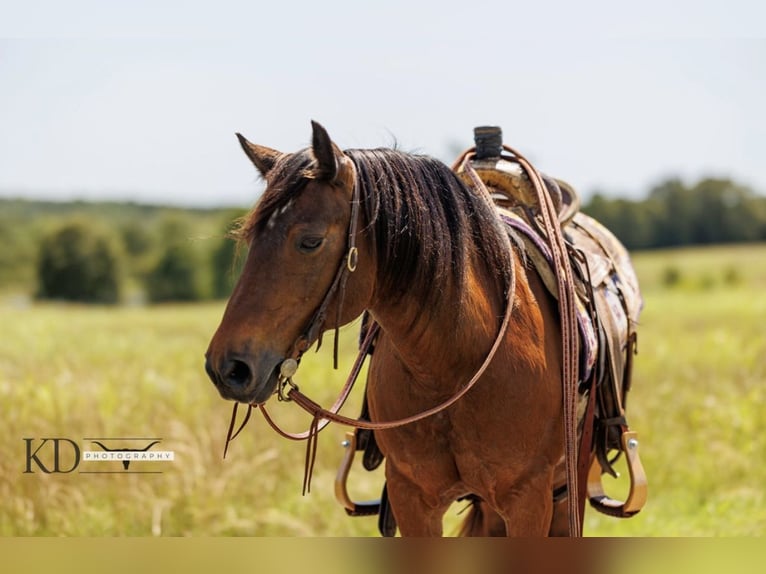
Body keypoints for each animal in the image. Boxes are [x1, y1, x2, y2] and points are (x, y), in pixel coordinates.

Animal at [205, 121, 644, 536]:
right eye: (251, 239)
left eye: (310, 241)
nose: (228, 368)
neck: (452, 366)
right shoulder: (411, 497)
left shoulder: (529, 499)